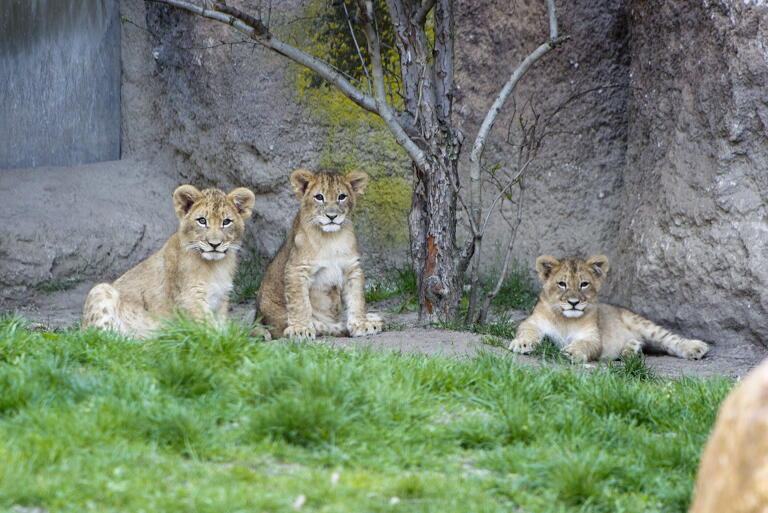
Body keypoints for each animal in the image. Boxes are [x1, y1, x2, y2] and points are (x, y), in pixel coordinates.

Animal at [82, 184, 256, 338]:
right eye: (202, 220)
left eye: (226, 222)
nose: (214, 244)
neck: (216, 266)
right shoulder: (190, 297)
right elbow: (209, 330)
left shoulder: (221, 299)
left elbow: (221, 326)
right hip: (101, 290)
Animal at [256, 168, 383, 339]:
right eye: (319, 197)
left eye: (341, 196)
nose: (332, 216)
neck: (330, 238)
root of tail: (257, 318)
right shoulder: (297, 269)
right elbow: (300, 303)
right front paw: (300, 329)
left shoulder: (352, 268)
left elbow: (357, 298)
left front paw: (361, 324)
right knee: (320, 326)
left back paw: (371, 318)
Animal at [508, 254, 710, 362]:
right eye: (562, 284)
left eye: (584, 284)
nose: (573, 302)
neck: (565, 319)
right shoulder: (532, 322)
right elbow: (527, 331)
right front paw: (522, 344)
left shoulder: (592, 337)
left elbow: (585, 344)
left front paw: (572, 352)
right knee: (639, 343)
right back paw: (630, 350)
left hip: (642, 324)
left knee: (670, 339)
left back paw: (696, 347)